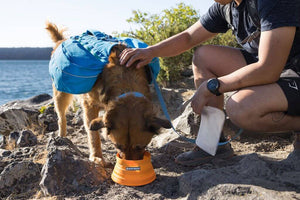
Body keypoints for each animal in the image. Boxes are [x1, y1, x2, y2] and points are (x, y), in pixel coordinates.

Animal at [44, 21, 171, 166]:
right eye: (117, 146)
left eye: (141, 147)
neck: (125, 81)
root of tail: (62, 41)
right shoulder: (89, 105)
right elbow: (93, 134)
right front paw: (96, 156)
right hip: (61, 94)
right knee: (61, 118)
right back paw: (62, 137)